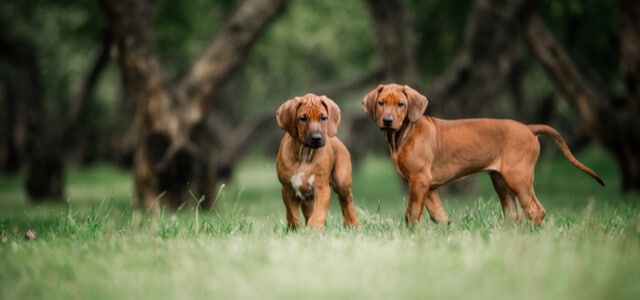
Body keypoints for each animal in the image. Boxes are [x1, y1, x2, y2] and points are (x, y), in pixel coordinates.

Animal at [278, 94, 362, 232]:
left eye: (323, 118)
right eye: (303, 118)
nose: (317, 138)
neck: (305, 153)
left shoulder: (322, 188)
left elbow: (318, 213)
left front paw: (313, 230)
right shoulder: (287, 189)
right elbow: (292, 214)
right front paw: (296, 230)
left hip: (342, 181)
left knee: (346, 199)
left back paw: (352, 223)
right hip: (307, 199)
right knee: (307, 210)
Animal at [362, 83, 604, 226]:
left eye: (401, 104)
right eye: (381, 103)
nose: (387, 121)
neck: (403, 134)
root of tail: (528, 128)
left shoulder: (419, 180)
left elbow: (411, 214)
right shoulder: (427, 186)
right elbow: (438, 215)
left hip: (518, 177)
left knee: (536, 210)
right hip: (501, 181)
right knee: (513, 213)